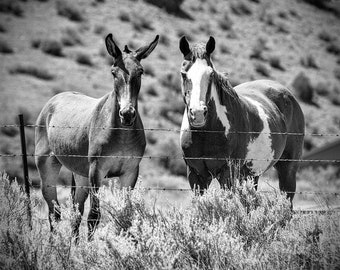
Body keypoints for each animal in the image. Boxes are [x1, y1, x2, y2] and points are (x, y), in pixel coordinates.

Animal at [34, 33, 159, 238]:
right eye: (113, 72)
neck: (121, 134)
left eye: (140, 72)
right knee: (54, 212)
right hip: (48, 167)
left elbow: (127, 215)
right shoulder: (97, 171)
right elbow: (94, 216)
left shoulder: (130, 173)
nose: (127, 114)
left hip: (81, 175)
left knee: (75, 212)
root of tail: (54, 100)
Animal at [179, 36, 304, 205]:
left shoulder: (227, 173)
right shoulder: (196, 175)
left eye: (211, 74)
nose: (198, 113)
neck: (207, 133)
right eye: (183, 74)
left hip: (288, 168)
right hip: (252, 174)